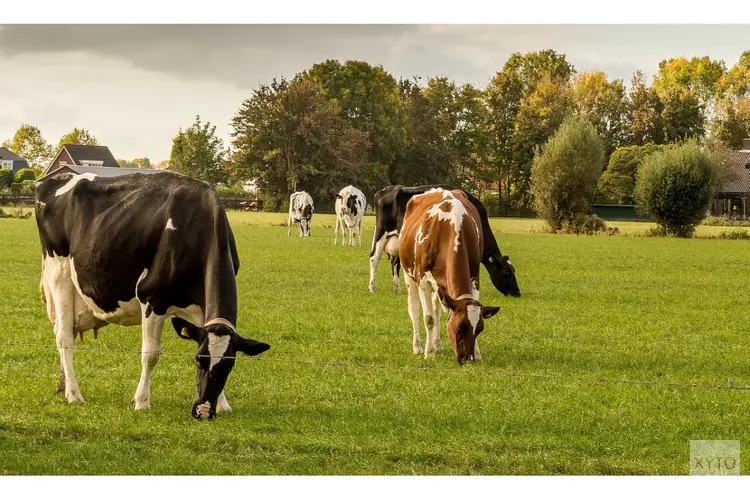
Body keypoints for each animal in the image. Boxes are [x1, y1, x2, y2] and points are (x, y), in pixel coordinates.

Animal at [36, 170, 270, 420]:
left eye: (229, 365)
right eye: (199, 359)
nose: (204, 411)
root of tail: (57, 176)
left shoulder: (200, 310)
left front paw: (222, 404)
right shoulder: (153, 298)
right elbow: (151, 354)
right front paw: (141, 401)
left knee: (65, 331)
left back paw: (62, 387)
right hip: (59, 274)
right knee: (64, 337)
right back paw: (74, 394)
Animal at [366, 186, 520, 298]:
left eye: (513, 270)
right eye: (506, 272)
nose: (517, 292)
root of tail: (385, 190)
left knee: (395, 263)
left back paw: (397, 289)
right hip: (381, 232)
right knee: (374, 258)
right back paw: (372, 288)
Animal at [402, 188, 502, 364]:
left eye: (479, 329)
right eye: (460, 326)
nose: (468, 359)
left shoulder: (474, 276)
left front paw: (477, 353)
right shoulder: (423, 280)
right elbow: (429, 318)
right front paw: (429, 353)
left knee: (436, 307)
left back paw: (437, 344)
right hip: (409, 275)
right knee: (414, 310)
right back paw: (418, 347)